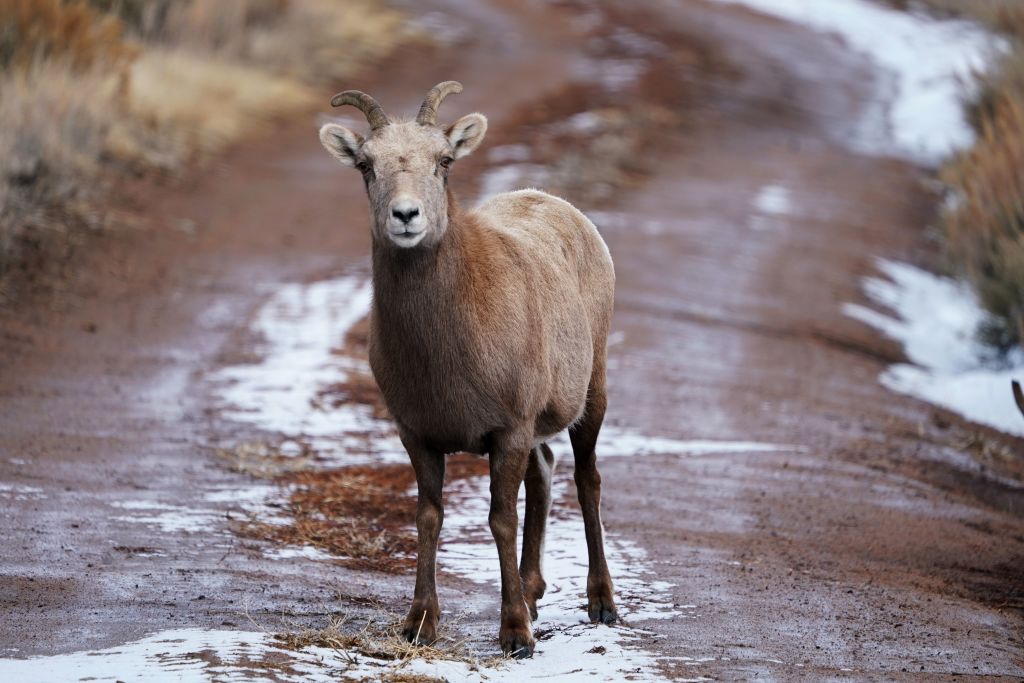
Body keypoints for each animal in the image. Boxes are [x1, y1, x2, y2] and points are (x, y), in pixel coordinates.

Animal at [318, 81, 617, 658]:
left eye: (444, 161)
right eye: (366, 165)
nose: (406, 216)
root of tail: (561, 206)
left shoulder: (507, 430)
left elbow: (500, 520)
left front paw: (516, 635)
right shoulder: (418, 435)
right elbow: (429, 519)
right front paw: (419, 625)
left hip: (591, 395)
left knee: (586, 479)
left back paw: (602, 604)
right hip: (537, 429)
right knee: (545, 471)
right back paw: (533, 591)